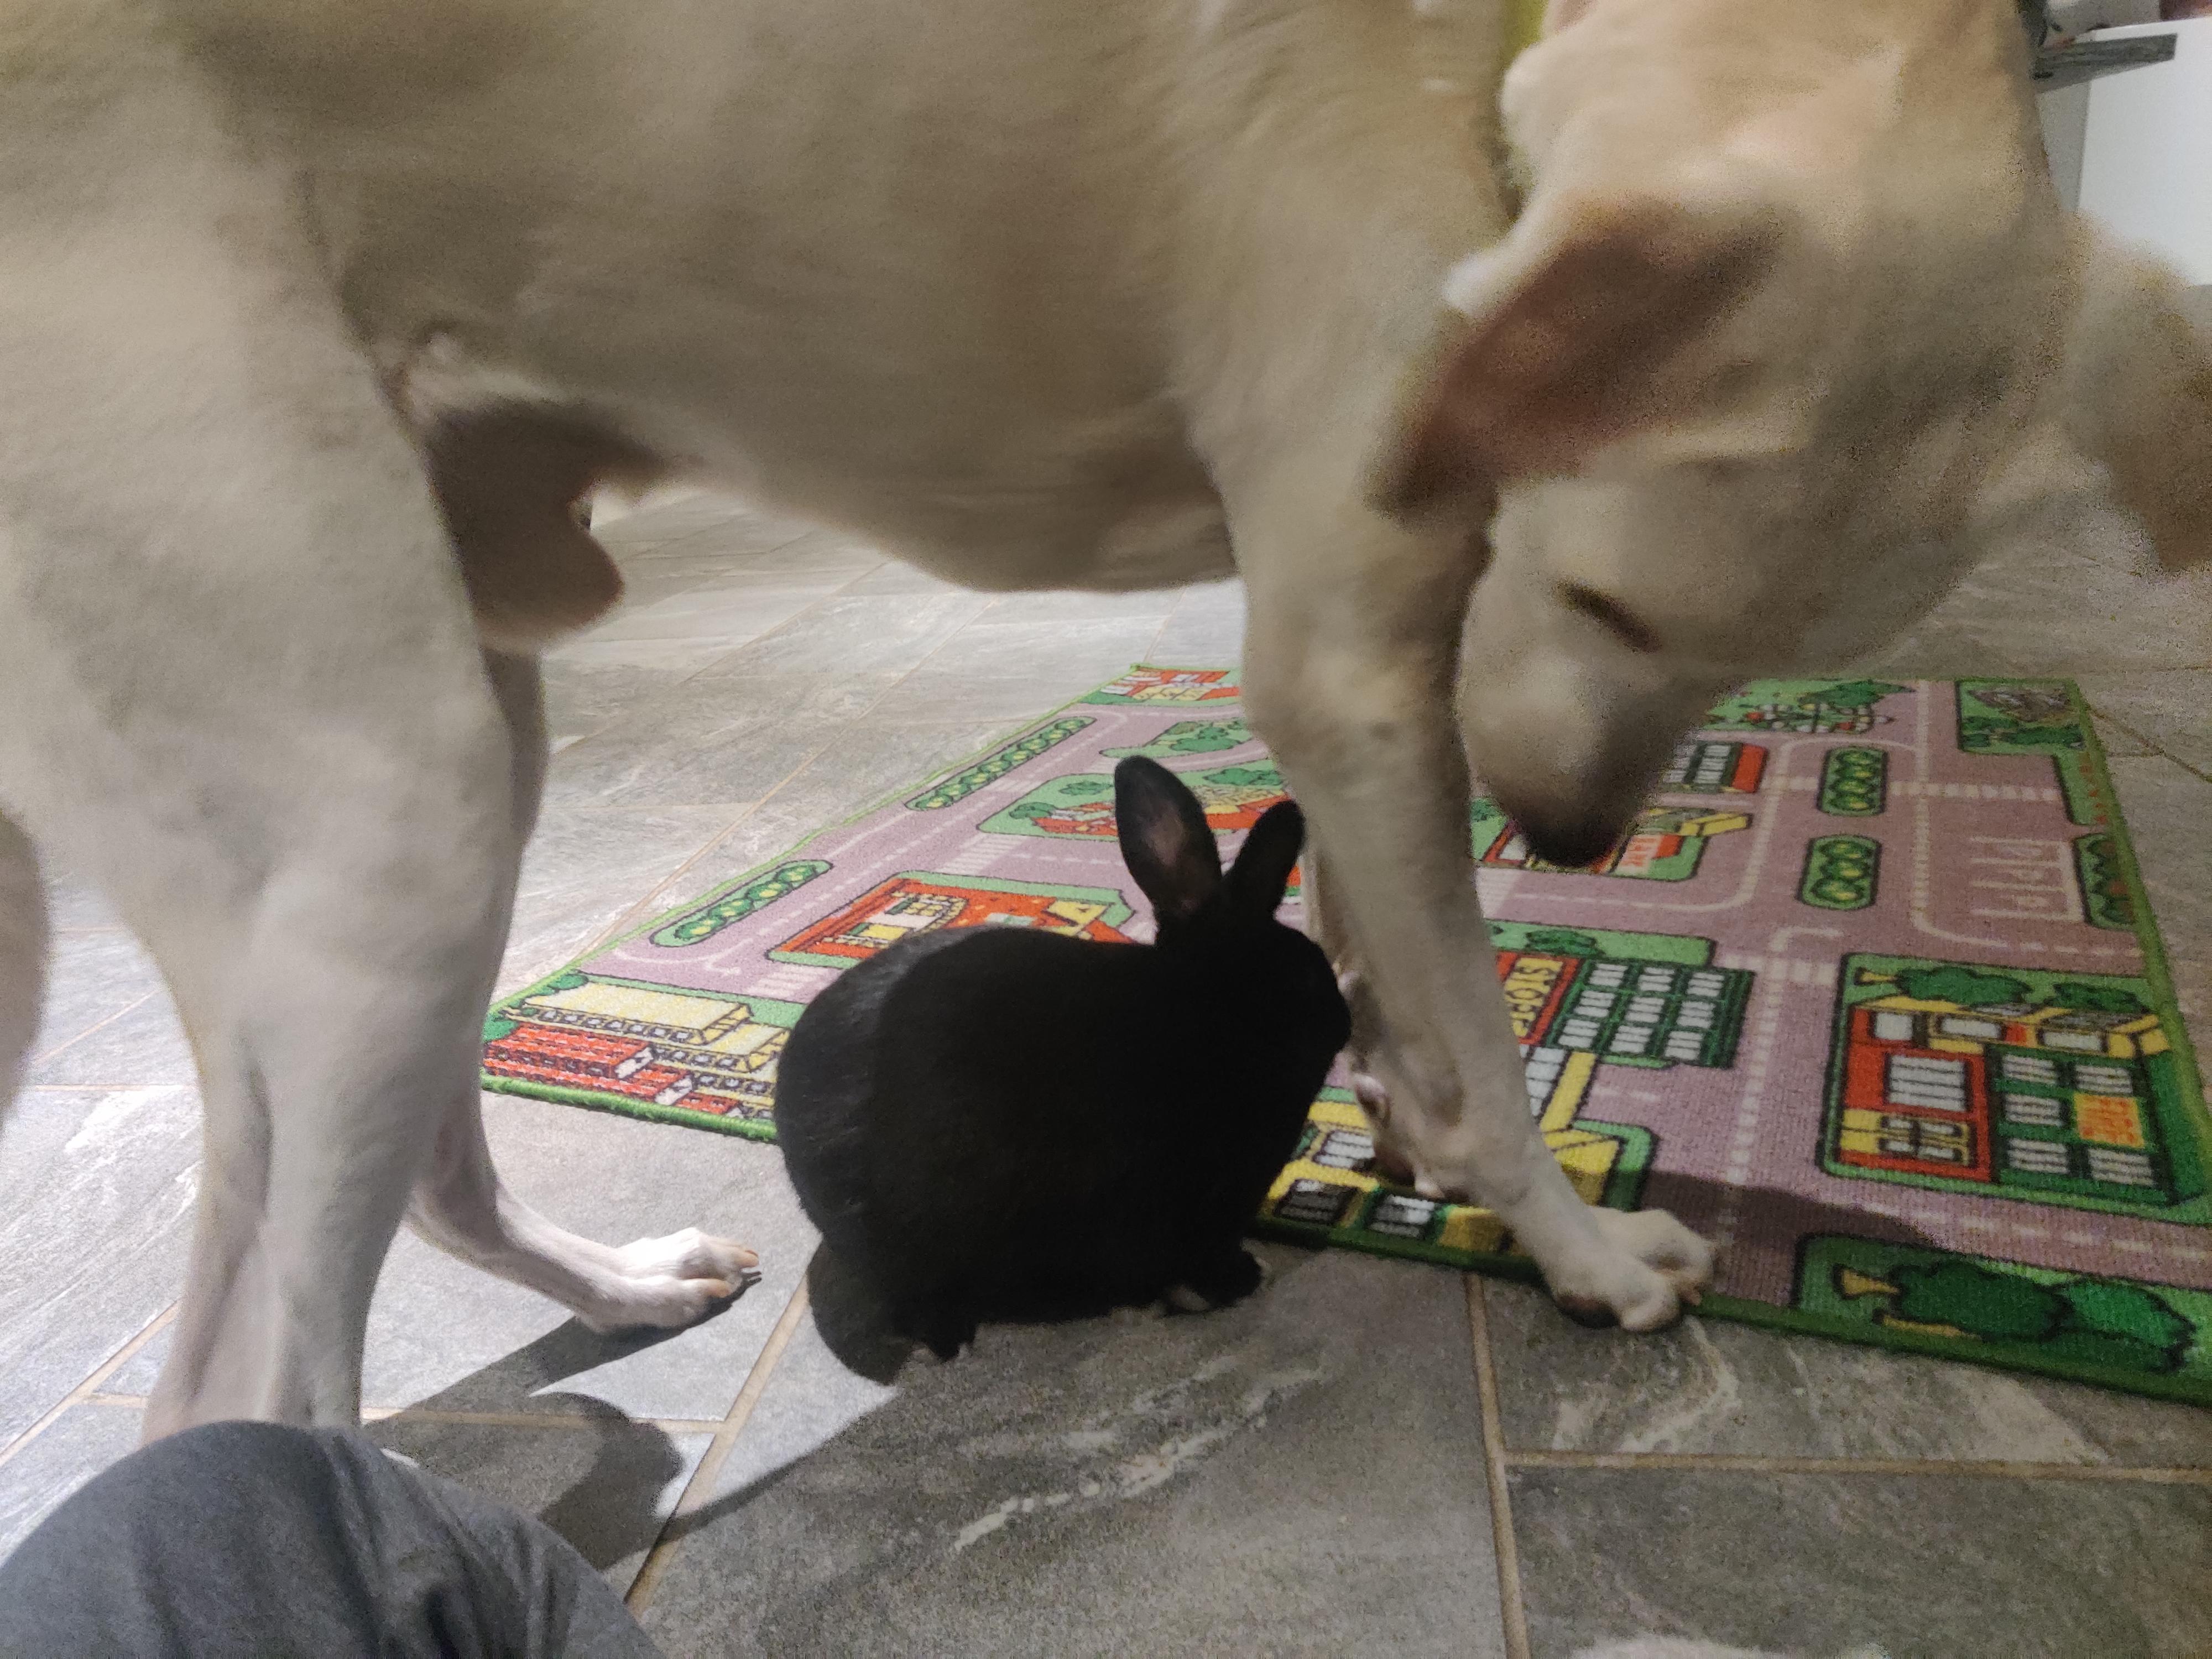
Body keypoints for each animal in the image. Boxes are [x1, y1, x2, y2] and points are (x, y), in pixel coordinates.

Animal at [774, 754, 1352, 1359]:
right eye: (1303, 977)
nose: (1346, 1021)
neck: (1202, 1017)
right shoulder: (1195, 1208)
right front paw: (1243, 1279)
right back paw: (954, 1341)